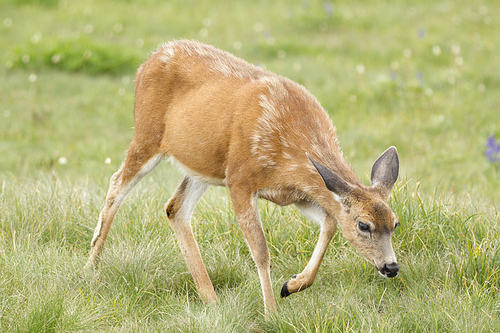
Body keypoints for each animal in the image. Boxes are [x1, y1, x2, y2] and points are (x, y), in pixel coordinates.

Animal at [85, 39, 398, 314]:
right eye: (364, 225)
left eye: (395, 223)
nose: (391, 267)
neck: (289, 149)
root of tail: (150, 59)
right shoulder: (240, 179)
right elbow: (261, 250)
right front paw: (271, 312)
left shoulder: (296, 193)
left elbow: (331, 222)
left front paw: (292, 285)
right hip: (147, 135)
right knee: (117, 184)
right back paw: (91, 267)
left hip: (203, 165)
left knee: (175, 208)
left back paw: (210, 297)